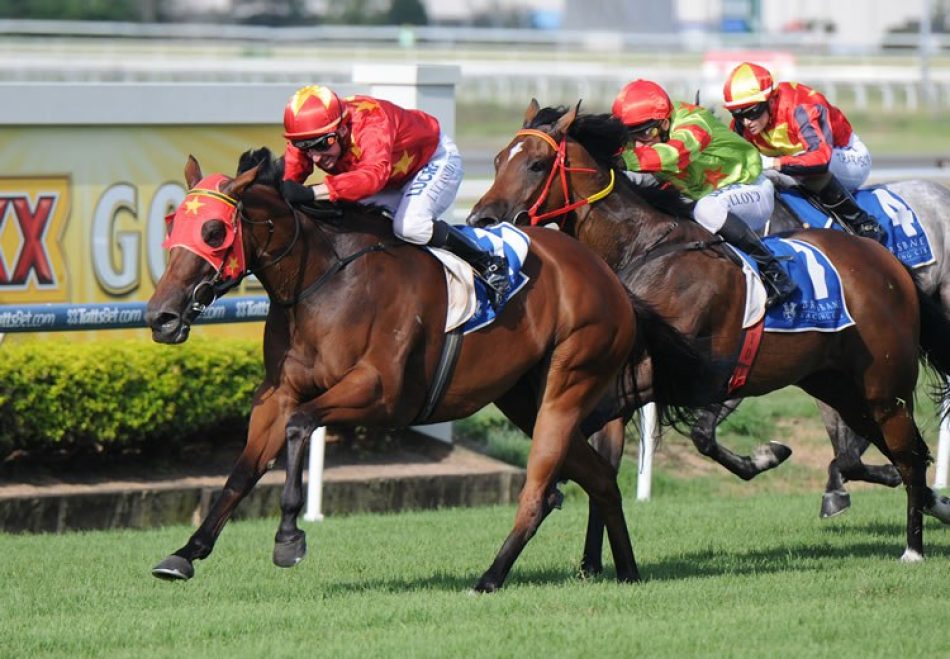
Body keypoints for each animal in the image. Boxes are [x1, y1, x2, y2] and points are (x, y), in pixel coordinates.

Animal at [144, 147, 716, 592]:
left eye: (214, 230)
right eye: (172, 226)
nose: (161, 316)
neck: (322, 281)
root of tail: (612, 280)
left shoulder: (380, 391)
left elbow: (300, 426)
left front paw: (289, 537)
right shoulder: (278, 391)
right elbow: (242, 470)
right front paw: (185, 553)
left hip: (569, 384)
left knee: (540, 490)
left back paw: (491, 577)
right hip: (522, 397)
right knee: (600, 478)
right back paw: (627, 571)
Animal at [466, 100, 950, 573]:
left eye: (536, 163)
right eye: (497, 160)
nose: (482, 217)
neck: (646, 248)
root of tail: (886, 260)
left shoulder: (695, 374)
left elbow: (682, 436)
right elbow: (601, 456)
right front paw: (589, 561)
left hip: (883, 387)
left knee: (908, 453)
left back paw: (914, 546)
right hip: (840, 386)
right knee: (889, 450)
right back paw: (921, 500)